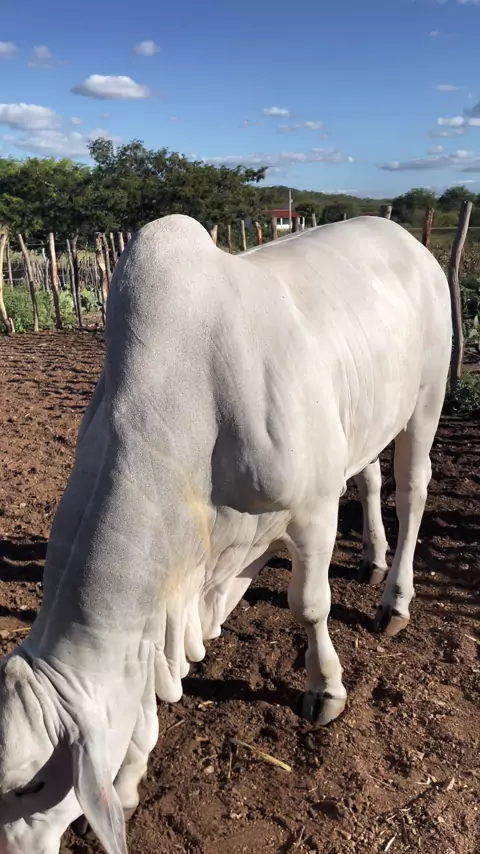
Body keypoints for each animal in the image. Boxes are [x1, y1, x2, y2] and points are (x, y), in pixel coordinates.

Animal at [0, 214, 452, 854]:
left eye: (33, 786)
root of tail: (403, 236)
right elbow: (146, 684)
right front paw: (131, 776)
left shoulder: (313, 509)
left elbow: (310, 605)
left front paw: (326, 689)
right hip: (364, 417)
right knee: (367, 476)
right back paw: (372, 558)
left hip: (426, 399)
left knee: (412, 492)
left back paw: (395, 598)